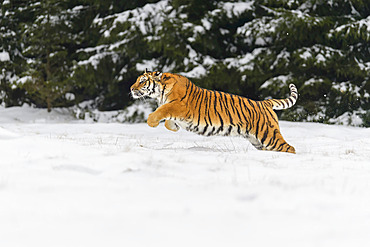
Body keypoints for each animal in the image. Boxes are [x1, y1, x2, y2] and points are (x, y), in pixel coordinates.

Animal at [130, 69, 298, 153]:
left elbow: (162, 109)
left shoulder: (179, 105)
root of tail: (264, 102)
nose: (131, 88)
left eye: (142, 81)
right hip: (257, 139)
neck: (161, 92)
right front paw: (173, 126)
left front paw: (151, 122)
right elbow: (168, 119)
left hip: (268, 135)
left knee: (289, 148)